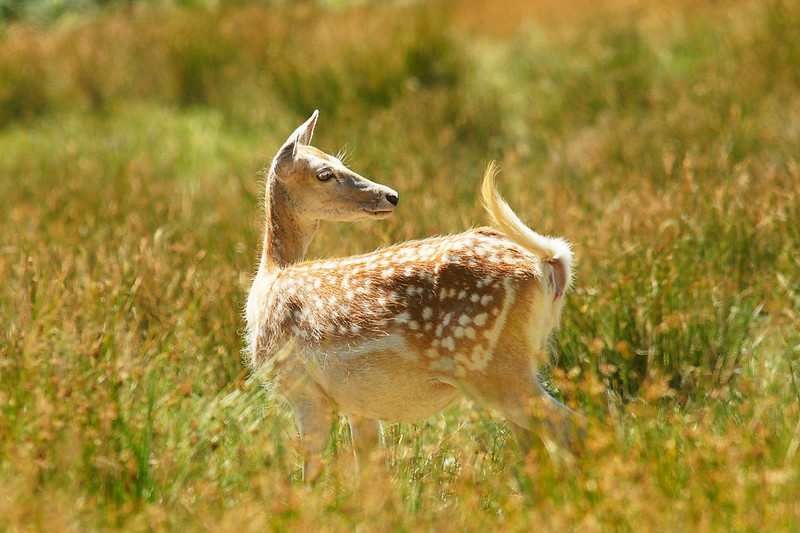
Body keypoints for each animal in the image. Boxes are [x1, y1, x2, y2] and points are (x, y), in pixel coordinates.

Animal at [244, 110, 580, 480]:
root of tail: (553, 262)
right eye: (325, 173)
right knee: (537, 447)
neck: (269, 278)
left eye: (337, 163)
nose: (390, 195)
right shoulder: (358, 403)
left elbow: (312, 473)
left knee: (573, 425)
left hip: (494, 367)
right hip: (522, 363)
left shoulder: (301, 386)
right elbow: (371, 473)